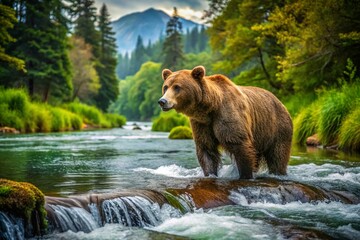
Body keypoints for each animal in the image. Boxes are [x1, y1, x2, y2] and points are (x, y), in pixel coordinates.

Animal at [158, 65, 292, 178]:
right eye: (166, 87)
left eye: (177, 87)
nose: (162, 101)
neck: (209, 108)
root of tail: (281, 102)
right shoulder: (201, 124)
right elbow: (206, 150)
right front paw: (210, 173)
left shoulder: (227, 114)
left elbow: (239, 144)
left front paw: (245, 175)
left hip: (277, 127)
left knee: (278, 156)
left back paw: (278, 172)